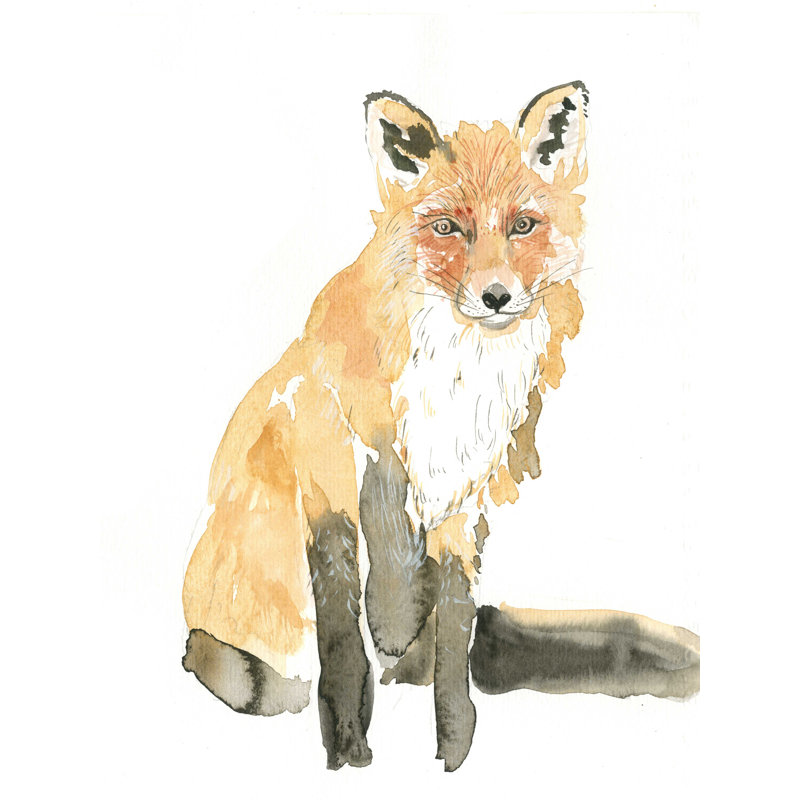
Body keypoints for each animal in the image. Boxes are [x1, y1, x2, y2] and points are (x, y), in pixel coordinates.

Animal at [182, 81, 699, 772]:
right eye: (448, 227)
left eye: (522, 225)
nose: (496, 296)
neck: (455, 378)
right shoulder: (329, 471)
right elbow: (345, 632)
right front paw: (348, 751)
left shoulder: (462, 500)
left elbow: (454, 639)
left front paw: (453, 750)